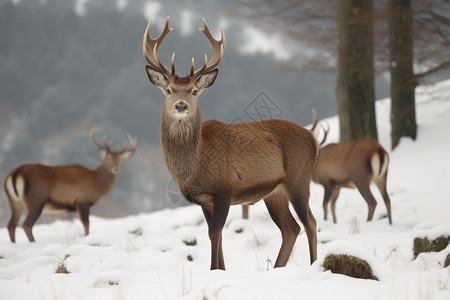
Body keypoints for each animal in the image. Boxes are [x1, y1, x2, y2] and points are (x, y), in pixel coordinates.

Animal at [3, 127, 135, 243]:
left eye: (120, 159)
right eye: (108, 158)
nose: (116, 169)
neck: (97, 184)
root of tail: (15, 174)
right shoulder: (82, 201)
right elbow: (86, 224)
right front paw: (87, 238)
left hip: (15, 202)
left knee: (11, 225)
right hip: (36, 200)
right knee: (26, 225)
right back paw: (33, 243)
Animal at [142, 16, 318, 270]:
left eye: (194, 91)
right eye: (168, 90)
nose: (181, 106)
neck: (195, 164)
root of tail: (313, 139)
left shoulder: (225, 188)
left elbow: (214, 233)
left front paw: (214, 269)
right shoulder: (204, 200)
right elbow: (216, 235)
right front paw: (221, 269)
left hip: (299, 178)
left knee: (310, 223)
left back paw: (314, 264)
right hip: (275, 192)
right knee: (291, 228)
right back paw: (277, 268)